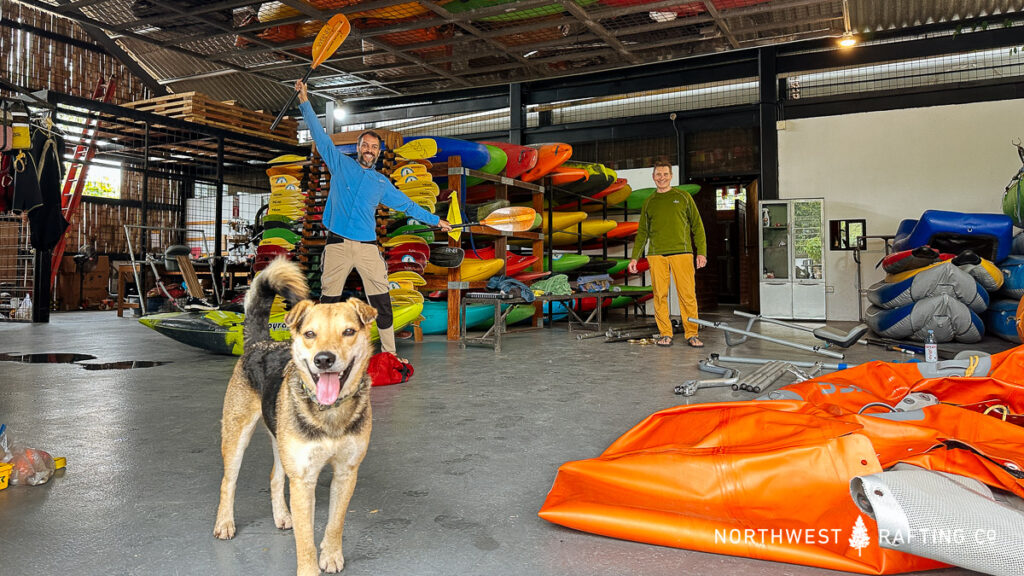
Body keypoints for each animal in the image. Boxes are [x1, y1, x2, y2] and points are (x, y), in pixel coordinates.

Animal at [216, 258, 380, 569]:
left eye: (348, 332)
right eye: (310, 334)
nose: (323, 360)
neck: (328, 412)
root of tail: (259, 342)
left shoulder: (346, 473)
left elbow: (335, 523)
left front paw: (331, 556)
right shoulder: (303, 480)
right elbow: (305, 542)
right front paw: (309, 568)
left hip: (280, 441)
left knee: (275, 476)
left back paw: (281, 515)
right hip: (236, 437)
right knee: (228, 482)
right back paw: (224, 523)